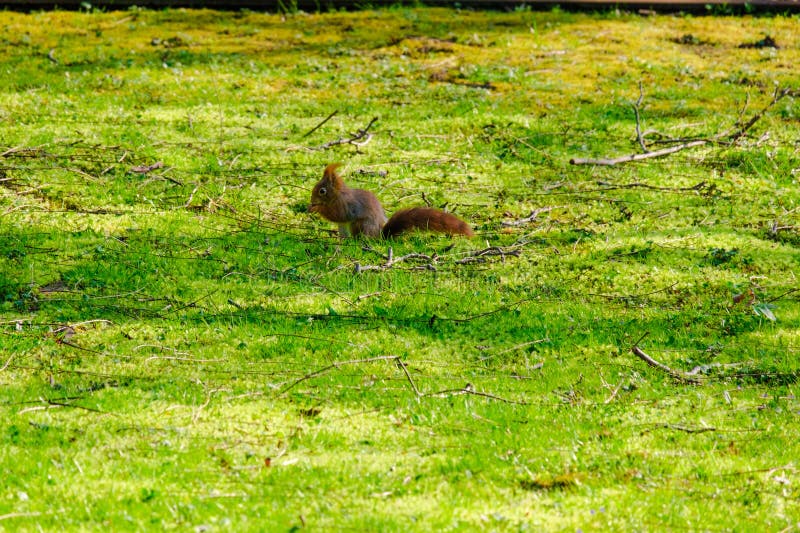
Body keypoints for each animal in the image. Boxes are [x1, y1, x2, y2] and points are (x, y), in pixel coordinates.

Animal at [309, 163, 474, 239]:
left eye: (322, 191)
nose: (311, 200)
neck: (338, 195)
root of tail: (380, 236)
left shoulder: (348, 206)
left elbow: (338, 215)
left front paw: (316, 208)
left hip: (360, 225)